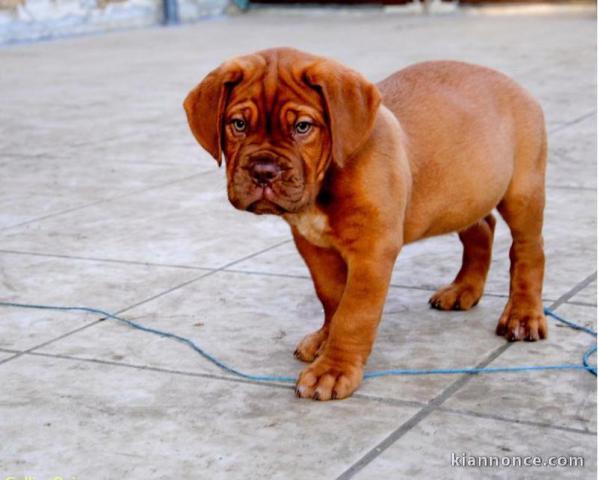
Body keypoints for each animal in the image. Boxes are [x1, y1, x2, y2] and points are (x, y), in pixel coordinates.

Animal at [185, 47, 552, 402]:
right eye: (238, 124)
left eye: (303, 127)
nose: (263, 171)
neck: (325, 184)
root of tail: (513, 82)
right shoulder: (313, 247)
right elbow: (332, 298)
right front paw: (324, 341)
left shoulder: (372, 252)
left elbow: (354, 314)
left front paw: (333, 371)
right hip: (463, 193)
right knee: (482, 228)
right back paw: (464, 290)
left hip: (522, 193)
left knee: (528, 251)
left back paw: (522, 315)